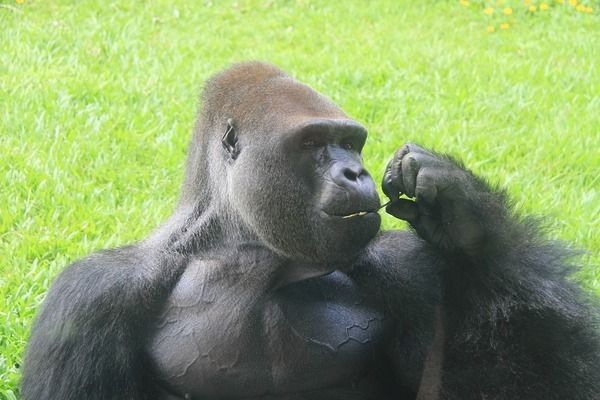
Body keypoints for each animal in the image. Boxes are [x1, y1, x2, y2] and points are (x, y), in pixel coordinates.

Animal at [22, 62, 600, 400]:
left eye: (352, 142)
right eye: (314, 143)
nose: (355, 172)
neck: (250, 251)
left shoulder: (408, 272)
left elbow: (521, 385)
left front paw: (468, 223)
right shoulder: (92, 295)